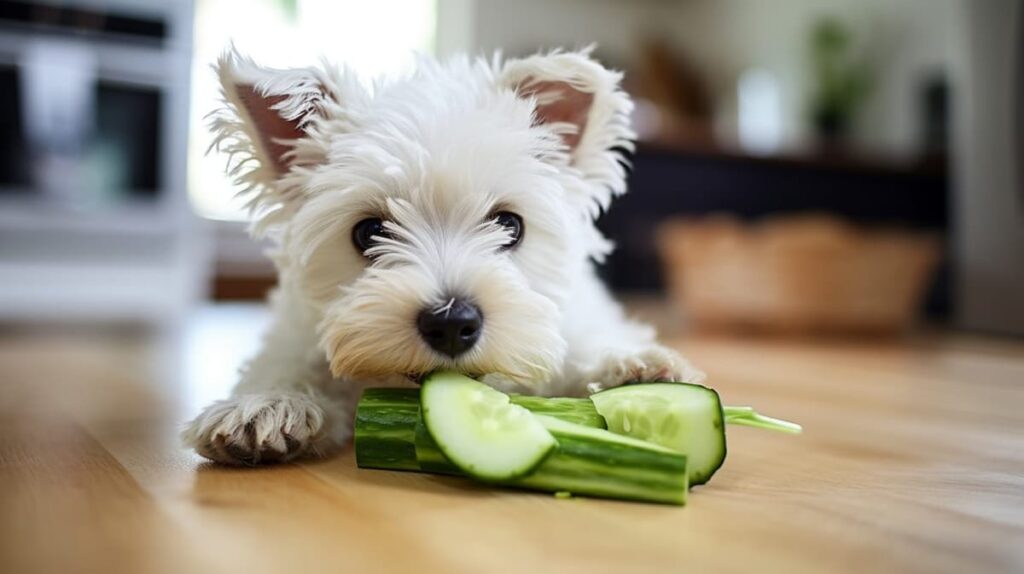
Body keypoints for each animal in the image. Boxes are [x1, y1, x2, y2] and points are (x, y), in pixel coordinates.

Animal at [182, 49, 704, 466]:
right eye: (369, 232)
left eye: (509, 225)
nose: (452, 322)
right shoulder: (295, 336)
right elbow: (288, 367)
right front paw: (265, 407)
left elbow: (584, 345)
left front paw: (633, 369)